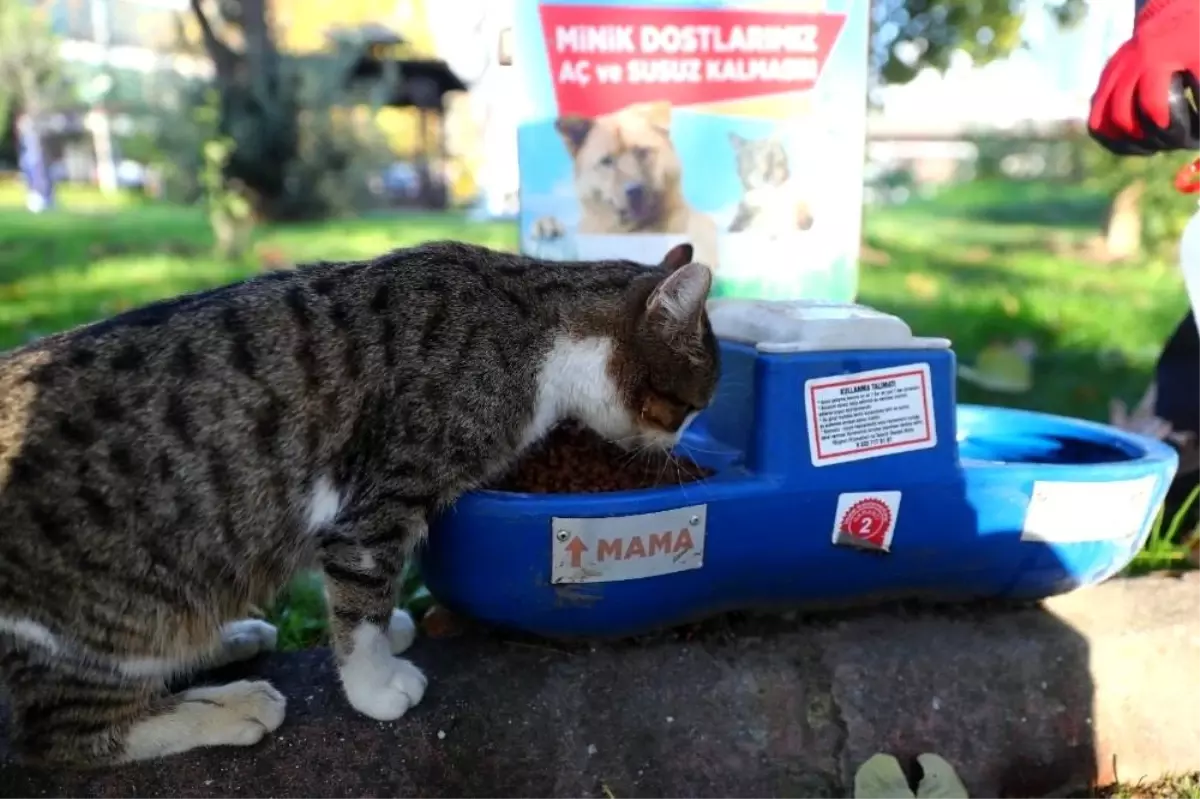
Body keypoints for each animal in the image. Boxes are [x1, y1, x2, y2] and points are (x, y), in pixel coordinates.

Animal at [0, 237, 715, 767]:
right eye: (687, 407)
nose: (678, 442)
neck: (533, 327)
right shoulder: (375, 507)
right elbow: (362, 603)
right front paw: (376, 683)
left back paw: (231, 639)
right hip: (115, 618)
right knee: (67, 735)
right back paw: (233, 707)